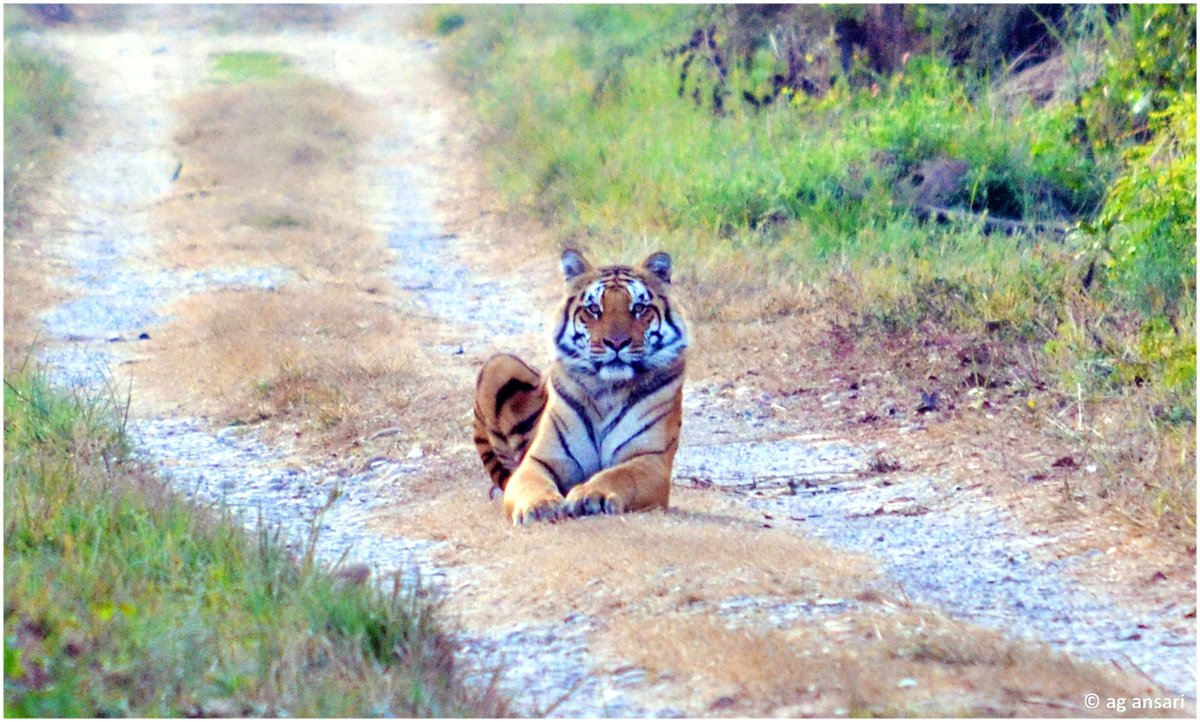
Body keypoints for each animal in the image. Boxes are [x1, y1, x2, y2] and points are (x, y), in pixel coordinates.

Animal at [472, 248, 689, 525]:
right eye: (594, 309)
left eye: (639, 308)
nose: (616, 343)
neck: (608, 389)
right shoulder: (541, 459)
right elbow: (531, 483)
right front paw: (540, 506)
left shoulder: (650, 459)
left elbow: (618, 475)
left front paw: (592, 495)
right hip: (498, 364)